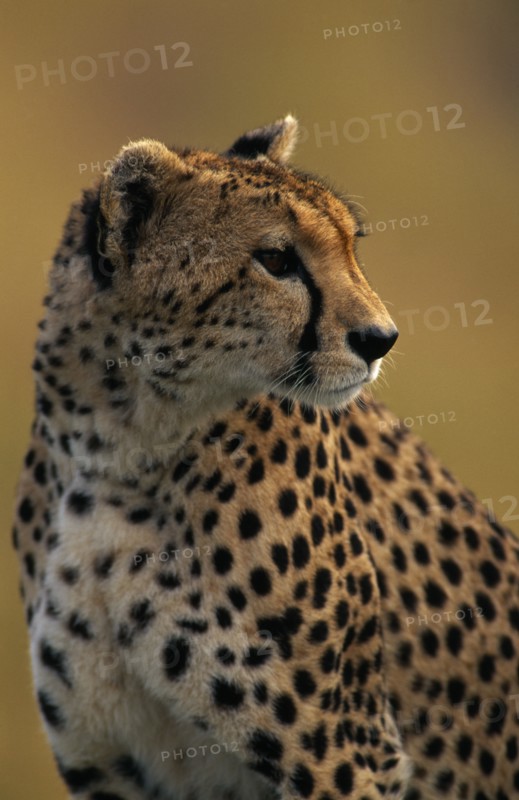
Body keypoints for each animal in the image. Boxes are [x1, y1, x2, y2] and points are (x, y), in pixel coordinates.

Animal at [12, 114, 519, 800]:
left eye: (352, 247)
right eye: (277, 260)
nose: (380, 338)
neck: (118, 450)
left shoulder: (345, 754)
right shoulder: (112, 764)